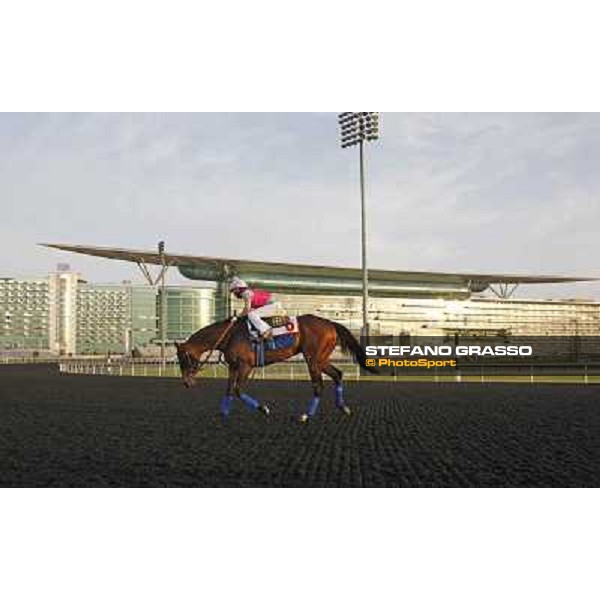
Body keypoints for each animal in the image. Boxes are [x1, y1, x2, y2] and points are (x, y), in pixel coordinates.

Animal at [176, 314, 378, 422]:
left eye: (183, 358)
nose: (186, 382)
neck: (230, 335)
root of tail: (330, 324)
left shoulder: (246, 365)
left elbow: (238, 389)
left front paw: (264, 409)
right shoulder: (233, 366)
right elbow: (228, 390)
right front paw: (223, 413)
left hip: (312, 359)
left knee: (318, 385)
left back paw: (306, 415)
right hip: (320, 359)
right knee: (337, 375)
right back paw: (343, 408)